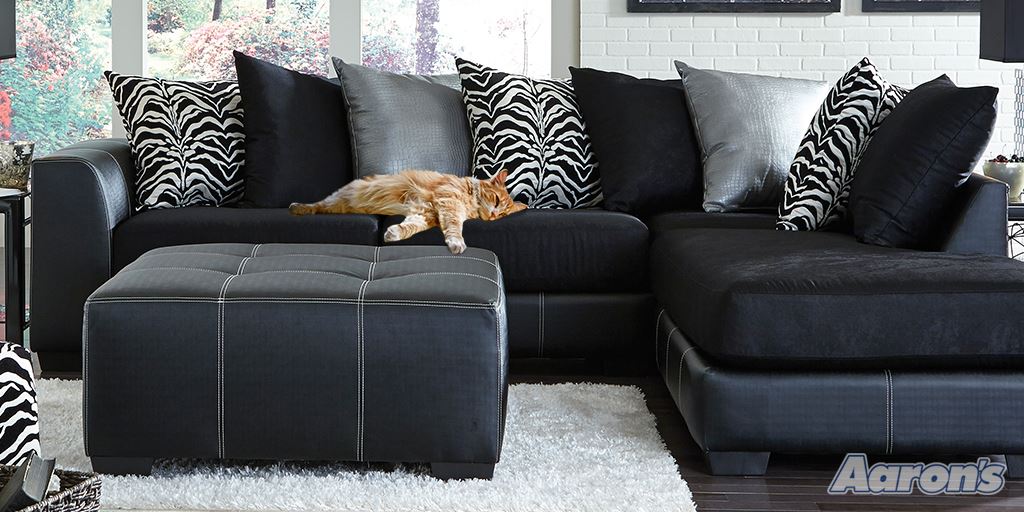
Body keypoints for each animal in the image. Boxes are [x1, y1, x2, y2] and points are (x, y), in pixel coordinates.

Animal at [289, 169, 527, 254]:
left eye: (503, 214)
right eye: (496, 200)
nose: (494, 216)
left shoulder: (426, 213)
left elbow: (411, 226)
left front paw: (394, 233)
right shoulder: (449, 204)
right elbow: (455, 228)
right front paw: (456, 243)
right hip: (337, 200)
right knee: (318, 205)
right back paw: (298, 208)